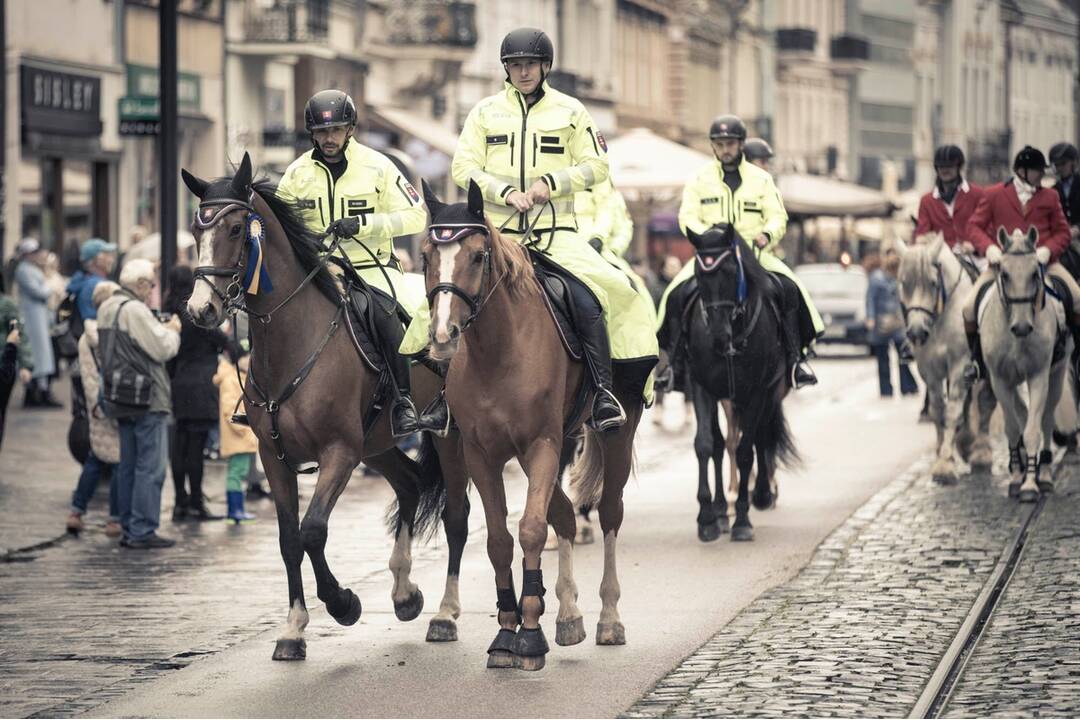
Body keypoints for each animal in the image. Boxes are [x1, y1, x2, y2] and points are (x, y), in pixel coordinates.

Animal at [183, 155, 453, 660]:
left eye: (235, 228)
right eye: (195, 228)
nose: (201, 310)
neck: (294, 340)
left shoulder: (339, 453)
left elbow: (313, 530)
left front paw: (343, 603)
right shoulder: (274, 457)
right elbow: (290, 539)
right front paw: (293, 628)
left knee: (460, 515)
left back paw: (447, 615)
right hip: (377, 444)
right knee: (409, 484)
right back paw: (405, 594)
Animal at [419, 179, 639, 669]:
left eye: (476, 256)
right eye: (424, 256)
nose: (443, 337)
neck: (498, 351)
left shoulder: (541, 445)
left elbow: (532, 529)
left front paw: (531, 634)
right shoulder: (481, 454)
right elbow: (501, 539)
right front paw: (507, 631)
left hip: (615, 431)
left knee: (609, 513)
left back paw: (609, 618)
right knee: (565, 515)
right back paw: (569, 614)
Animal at [686, 225, 799, 539]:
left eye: (729, 271)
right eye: (699, 275)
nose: (718, 336)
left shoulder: (759, 391)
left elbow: (748, 449)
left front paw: (743, 520)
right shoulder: (702, 388)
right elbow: (706, 444)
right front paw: (707, 518)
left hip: (769, 392)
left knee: (760, 438)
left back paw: (760, 495)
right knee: (723, 443)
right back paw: (723, 508)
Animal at [894, 234, 993, 481]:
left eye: (932, 283)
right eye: (903, 283)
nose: (917, 332)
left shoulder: (959, 366)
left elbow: (952, 412)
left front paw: (946, 465)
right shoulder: (930, 370)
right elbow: (938, 410)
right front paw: (941, 456)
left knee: (985, 403)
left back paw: (981, 453)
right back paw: (966, 444)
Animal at [980, 227, 1071, 498]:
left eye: (1034, 274)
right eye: (1004, 273)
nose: (1021, 327)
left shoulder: (1038, 375)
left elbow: (1032, 430)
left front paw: (1030, 483)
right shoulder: (999, 380)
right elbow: (1012, 428)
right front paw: (1016, 476)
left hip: (1057, 374)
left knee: (1046, 418)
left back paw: (1046, 472)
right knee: (1021, 414)